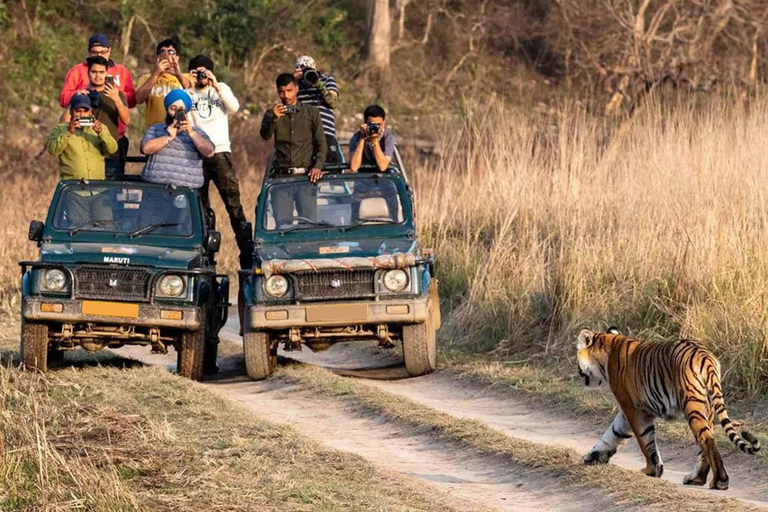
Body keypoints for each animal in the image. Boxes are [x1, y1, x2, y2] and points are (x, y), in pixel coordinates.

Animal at [576, 326, 756, 490]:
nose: (578, 372)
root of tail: (706, 356)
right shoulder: (628, 411)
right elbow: (613, 433)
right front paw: (593, 456)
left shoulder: (634, 409)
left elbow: (645, 441)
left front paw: (651, 470)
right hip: (708, 407)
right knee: (707, 440)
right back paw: (696, 479)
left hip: (693, 404)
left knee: (707, 439)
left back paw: (719, 481)